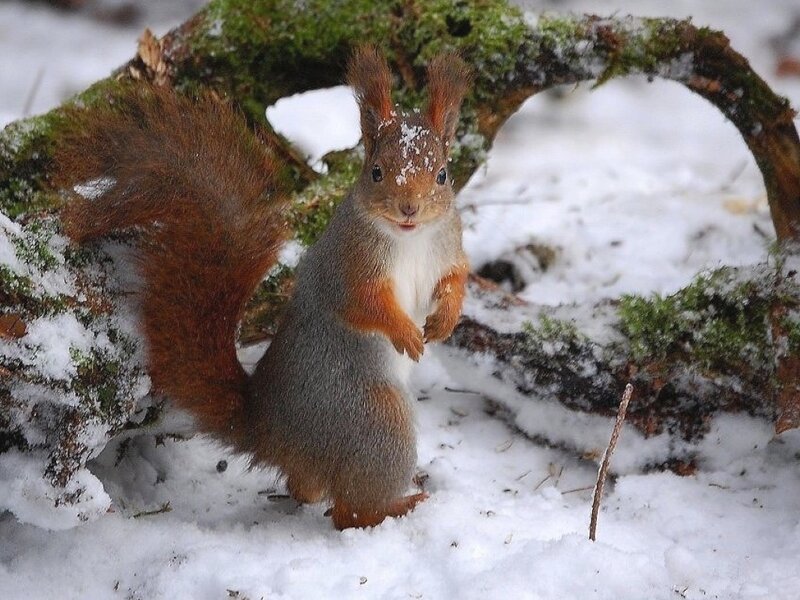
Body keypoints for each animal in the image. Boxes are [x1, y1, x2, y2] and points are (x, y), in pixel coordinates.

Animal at [53, 47, 471, 530]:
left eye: (442, 175)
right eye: (376, 172)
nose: (409, 209)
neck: (410, 239)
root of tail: (269, 431)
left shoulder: (448, 248)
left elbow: (455, 280)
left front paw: (445, 320)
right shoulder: (346, 265)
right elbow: (361, 303)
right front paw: (405, 333)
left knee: (313, 493)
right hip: (375, 424)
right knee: (348, 512)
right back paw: (398, 506)